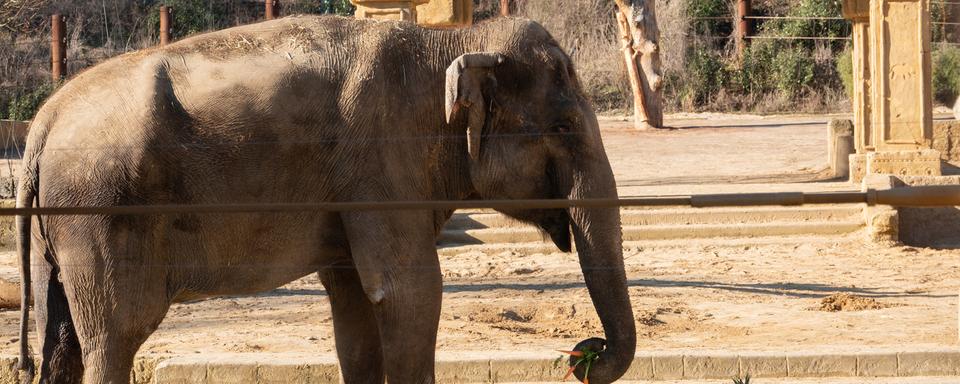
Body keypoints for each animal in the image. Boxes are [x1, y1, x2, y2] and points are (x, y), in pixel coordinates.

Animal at [16, 15, 636, 384]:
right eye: (564, 127)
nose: (581, 354)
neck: (452, 42)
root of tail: (40, 127)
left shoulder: (354, 191)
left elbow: (355, 304)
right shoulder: (383, 167)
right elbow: (409, 292)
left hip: (61, 233)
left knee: (62, 341)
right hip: (101, 213)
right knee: (116, 335)